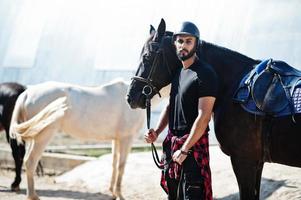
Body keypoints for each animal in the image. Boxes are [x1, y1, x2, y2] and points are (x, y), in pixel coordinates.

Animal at [9, 80, 166, 200]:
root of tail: (27, 93)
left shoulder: (116, 139)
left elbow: (114, 164)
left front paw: (112, 191)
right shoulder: (126, 138)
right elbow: (121, 166)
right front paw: (120, 194)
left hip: (33, 137)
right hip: (44, 135)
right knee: (30, 161)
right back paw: (33, 196)